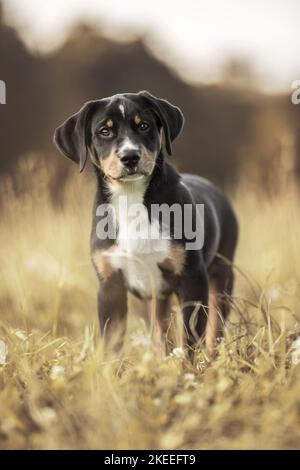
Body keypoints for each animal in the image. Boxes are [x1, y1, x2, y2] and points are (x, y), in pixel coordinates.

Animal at [53, 91, 237, 356]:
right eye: (104, 131)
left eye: (144, 125)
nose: (130, 157)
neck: (130, 198)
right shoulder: (110, 286)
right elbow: (113, 346)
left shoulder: (192, 279)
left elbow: (190, 341)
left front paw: (190, 367)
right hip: (159, 297)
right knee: (162, 331)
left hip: (221, 277)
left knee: (215, 330)